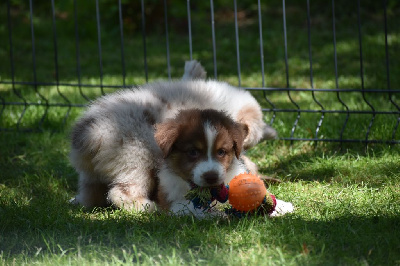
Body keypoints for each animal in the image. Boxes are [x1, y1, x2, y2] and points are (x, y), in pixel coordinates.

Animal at [70, 60, 292, 218]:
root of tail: (89, 134)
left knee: (90, 196)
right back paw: (147, 207)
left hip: (91, 176)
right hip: (136, 160)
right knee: (121, 192)